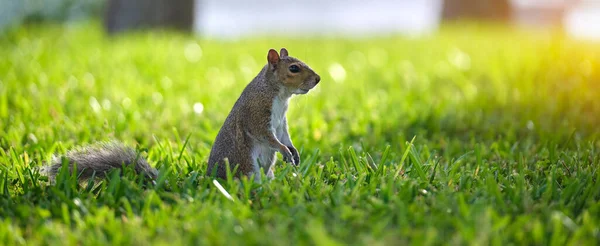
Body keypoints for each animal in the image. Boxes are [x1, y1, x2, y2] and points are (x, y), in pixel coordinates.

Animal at [44, 48, 322, 183]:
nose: (318, 79)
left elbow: (284, 136)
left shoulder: (281, 121)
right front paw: (285, 151)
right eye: (293, 68)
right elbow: (267, 136)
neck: (280, 94)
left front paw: (293, 151)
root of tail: (210, 180)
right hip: (245, 166)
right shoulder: (257, 112)